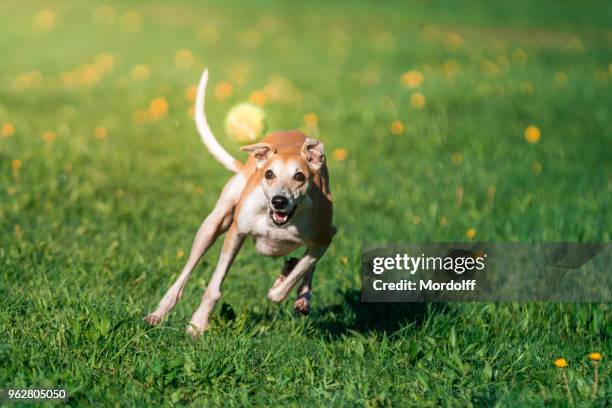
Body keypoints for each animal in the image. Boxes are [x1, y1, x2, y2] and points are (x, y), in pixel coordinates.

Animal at [143, 71, 334, 338]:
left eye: (299, 176)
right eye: (270, 174)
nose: (279, 201)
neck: (278, 223)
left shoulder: (326, 235)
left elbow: (294, 276)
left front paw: (284, 283)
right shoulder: (237, 231)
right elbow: (213, 287)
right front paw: (197, 325)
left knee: (304, 264)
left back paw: (301, 296)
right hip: (213, 224)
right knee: (185, 274)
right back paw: (158, 313)